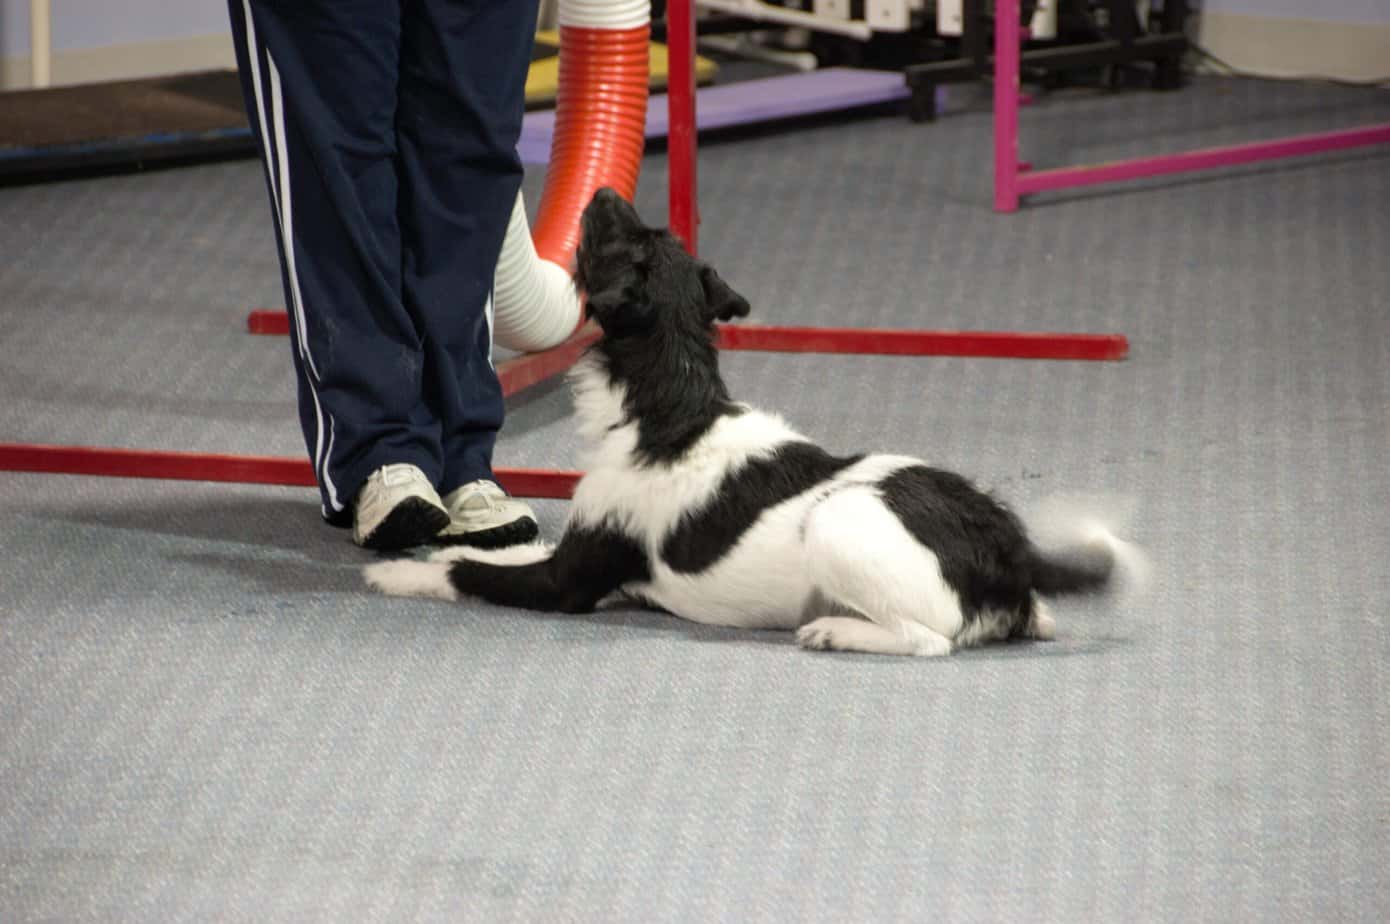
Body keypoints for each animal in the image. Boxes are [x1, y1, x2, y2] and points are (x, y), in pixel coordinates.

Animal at [364, 187, 1145, 653]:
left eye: (621, 244)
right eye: (653, 233)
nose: (606, 191)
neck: (671, 405)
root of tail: (1010, 547)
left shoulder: (566, 583)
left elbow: (467, 572)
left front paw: (398, 573)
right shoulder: (570, 544)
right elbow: (504, 551)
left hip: (840, 521)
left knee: (929, 639)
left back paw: (834, 629)